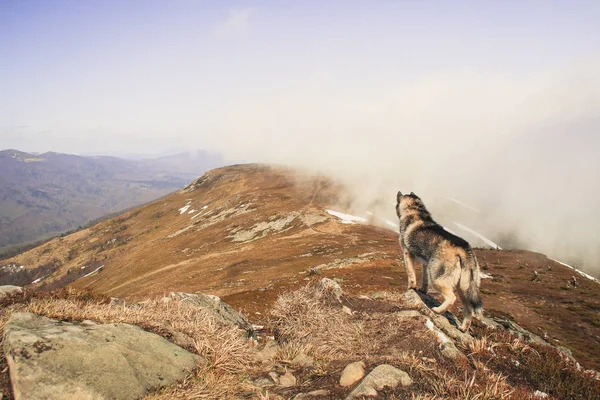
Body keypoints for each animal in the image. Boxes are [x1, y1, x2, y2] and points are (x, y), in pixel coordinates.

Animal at [398, 191, 482, 332]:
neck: (415, 210)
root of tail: (464, 250)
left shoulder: (407, 253)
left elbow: (411, 274)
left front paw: (411, 288)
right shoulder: (426, 263)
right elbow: (424, 278)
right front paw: (422, 290)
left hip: (438, 279)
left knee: (451, 297)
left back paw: (437, 310)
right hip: (464, 286)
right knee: (469, 308)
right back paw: (463, 328)